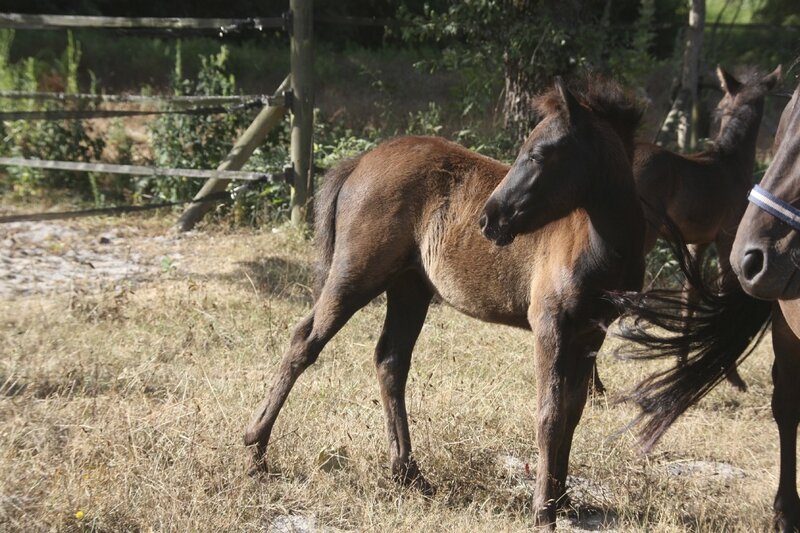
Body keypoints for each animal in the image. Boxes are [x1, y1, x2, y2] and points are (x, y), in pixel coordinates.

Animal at [244, 79, 644, 528]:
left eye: (539, 154)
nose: (490, 219)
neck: (602, 245)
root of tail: (362, 161)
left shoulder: (590, 333)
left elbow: (572, 412)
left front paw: (563, 499)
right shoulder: (551, 325)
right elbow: (550, 414)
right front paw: (543, 510)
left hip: (409, 287)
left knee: (390, 361)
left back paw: (408, 473)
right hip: (356, 275)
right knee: (305, 340)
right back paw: (256, 452)